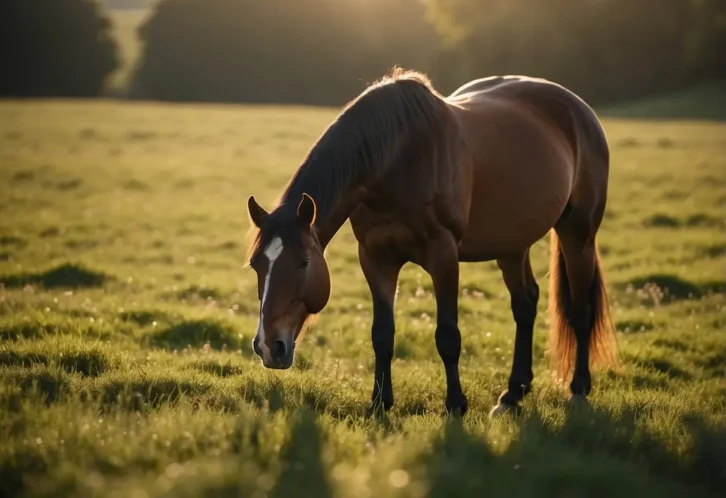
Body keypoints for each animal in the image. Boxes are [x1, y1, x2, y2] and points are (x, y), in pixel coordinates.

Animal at [246, 66, 620, 416]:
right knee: (525, 304)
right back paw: (513, 393)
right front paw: (380, 403)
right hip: (513, 245)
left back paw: (578, 389)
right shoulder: (376, 258)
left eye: (303, 262)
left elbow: (448, 336)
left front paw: (455, 404)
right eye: (256, 265)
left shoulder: (443, 255)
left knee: (580, 310)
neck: (396, 160)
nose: (268, 347)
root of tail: (578, 109)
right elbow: (382, 334)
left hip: (578, 233)